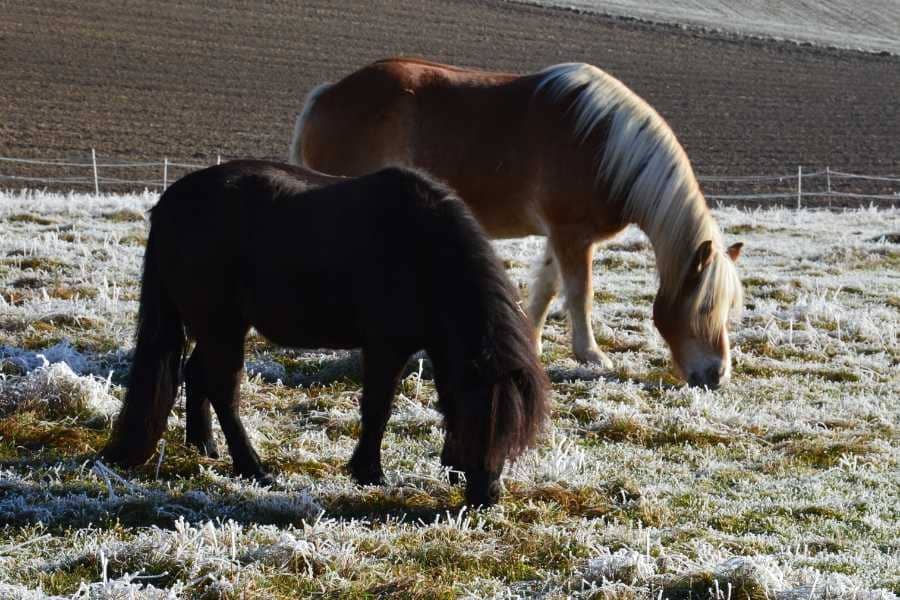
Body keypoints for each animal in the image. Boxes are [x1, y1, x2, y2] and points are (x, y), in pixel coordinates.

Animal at [100, 161, 548, 506]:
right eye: (479, 421)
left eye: (512, 432)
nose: (487, 496)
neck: (422, 250)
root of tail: (170, 203)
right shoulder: (385, 347)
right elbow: (378, 408)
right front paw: (369, 473)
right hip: (219, 326)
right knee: (223, 389)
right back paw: (253, 469)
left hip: (219, 327)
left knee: (196, 374)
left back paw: (204, 446)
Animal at [288, 58, 744, 390]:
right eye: (706, 306)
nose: (717, 376)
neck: (604, 148)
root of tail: (326, 95)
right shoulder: (573, 236)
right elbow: (580, 294)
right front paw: (592, 355)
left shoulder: (559, 238)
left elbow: (547, 290)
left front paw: (533, 342)